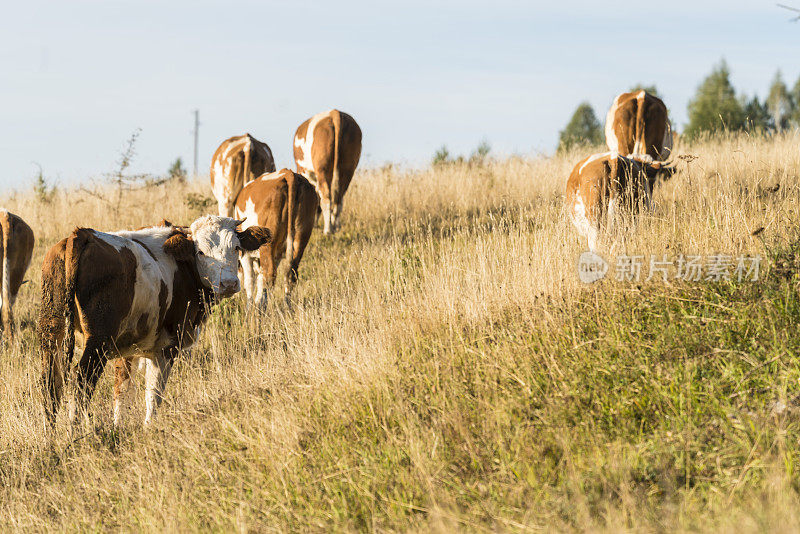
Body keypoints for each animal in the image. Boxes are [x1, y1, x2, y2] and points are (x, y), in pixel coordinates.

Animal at [39, 216, 272, 430]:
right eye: (200, 252)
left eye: (236, 247)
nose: (229, 283)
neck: (183, 268)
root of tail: (81, 235)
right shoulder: (167, 346)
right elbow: (154, 392)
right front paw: (149, 426)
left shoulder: (127, 349)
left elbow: (122, 390)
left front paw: (118, 426)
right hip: (98, 341)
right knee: (81, 380)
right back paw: (74, 430)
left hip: (52, 332)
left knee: (50, 381)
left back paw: (50, 432)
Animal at [233, 170, 318, 308]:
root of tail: (289, 174)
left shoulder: (245, 254)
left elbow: (250, 281)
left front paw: (250, 306)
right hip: (301, 238)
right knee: (291, 274)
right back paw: (287, 306)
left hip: (268, 245)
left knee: (269, 274)